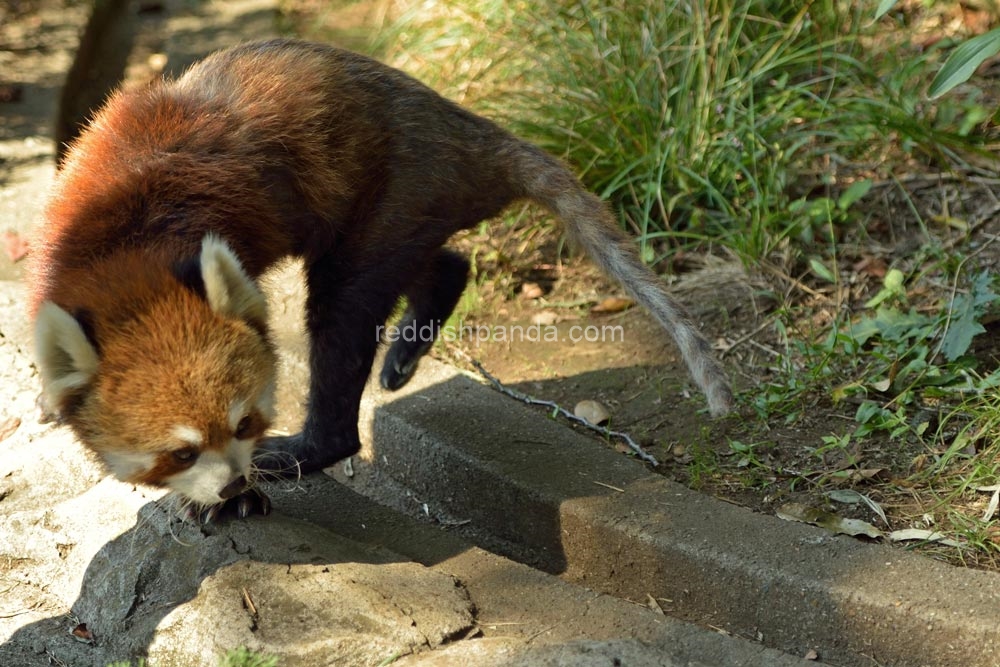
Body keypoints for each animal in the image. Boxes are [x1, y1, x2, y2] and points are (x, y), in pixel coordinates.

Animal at [31, 37, 736, 516]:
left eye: (245, 424)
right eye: (179, 452)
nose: (234, 481)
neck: (125, 251)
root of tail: (463, 125)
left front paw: (238, 499)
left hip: (394, 188)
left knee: (343, 313)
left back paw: (315, 442)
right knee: (432, 264)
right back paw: (409, 343)